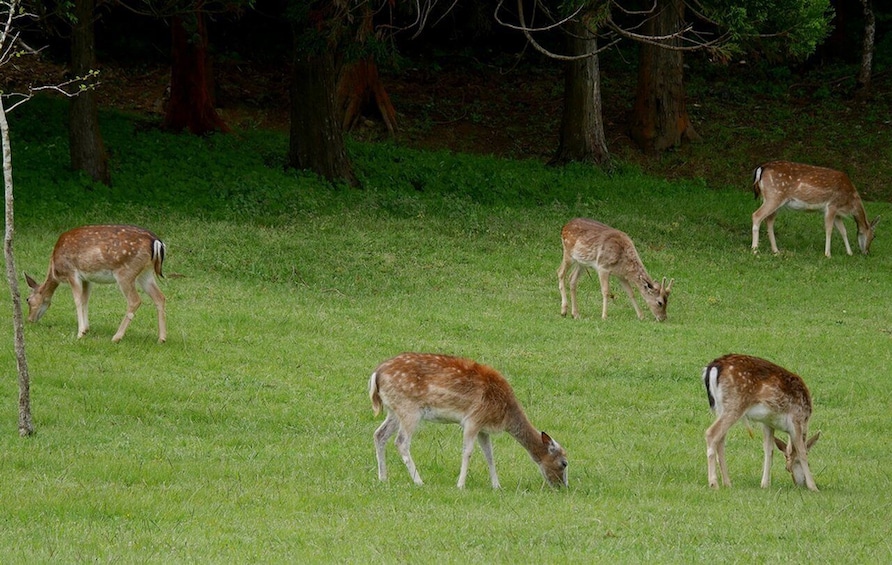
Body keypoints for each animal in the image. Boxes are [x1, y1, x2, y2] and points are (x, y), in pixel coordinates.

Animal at [25, 225, 167, 343]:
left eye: (28, 300)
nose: (30, 320)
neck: (55, 270)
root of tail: (156, 242)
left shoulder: (72, 273)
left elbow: (77, 300)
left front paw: (80, 333)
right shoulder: (87, 278)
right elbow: (85, 299)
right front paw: (86, 329)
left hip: (126, 273)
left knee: (135, 300)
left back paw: (116, 337)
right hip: (145, 273)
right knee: (160, 297)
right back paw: (161, 339)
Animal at [369, 352, 568, 489]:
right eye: (564, 463)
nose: (563, 486)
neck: (503, 414)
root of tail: (375, 375)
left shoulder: (483, 428)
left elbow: (489, 455)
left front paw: (497, 486)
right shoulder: (473, 418)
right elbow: (468, 452)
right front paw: (460, 485)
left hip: (394, 410)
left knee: (379, 434)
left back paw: (382, 477)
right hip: (409, 408)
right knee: (401, 441)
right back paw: (419, 481)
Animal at [703, 353, 820, 492]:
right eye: (787, 468)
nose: (800, 485)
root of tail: (714, 366)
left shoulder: (768, 423)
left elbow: (769, 450)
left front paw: (765, 484)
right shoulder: (796, 418)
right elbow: (801, 452)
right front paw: (814, 487)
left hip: (720, 407)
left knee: (720, 439)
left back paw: (727, 483)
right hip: (735, 403)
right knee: (711, 433)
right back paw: (714, 483)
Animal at [751, 161, 880, 257]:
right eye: (874, 236)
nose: (867, 252)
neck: (850, 202)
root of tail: (761, 168)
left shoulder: (837, 213)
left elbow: (843, 231)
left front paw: (850, 253)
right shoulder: (831, 206)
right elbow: (829, 229)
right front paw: (828, 254)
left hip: (774, 200)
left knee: (769, 221)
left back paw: (776, 251)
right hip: (774, 196)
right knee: (756, 215)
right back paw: (755, 250)